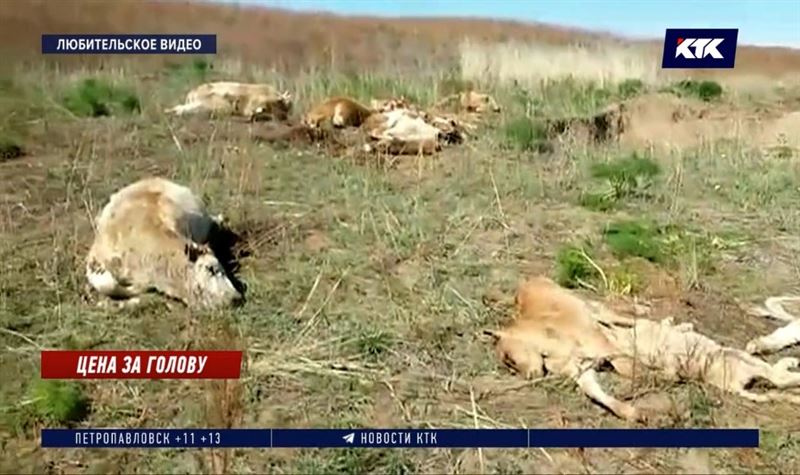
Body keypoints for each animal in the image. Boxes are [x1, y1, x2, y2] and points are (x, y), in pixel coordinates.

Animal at [484, 278, 800, 422]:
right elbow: (601, 395)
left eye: (509, 358)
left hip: (597, 311)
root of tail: (528, 282)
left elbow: (629, 365)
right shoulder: (583, 370)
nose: (528, 376)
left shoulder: (604, 346)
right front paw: (633, 413)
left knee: (626, 315)